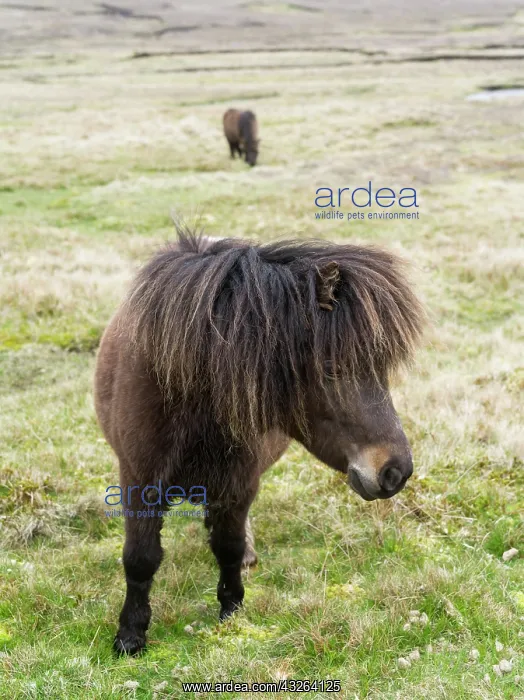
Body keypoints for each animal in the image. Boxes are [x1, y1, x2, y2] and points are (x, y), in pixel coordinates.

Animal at [94, 227, 424, 655]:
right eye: (332, 368)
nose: (396, 471)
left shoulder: (240, 482)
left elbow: (228, 547)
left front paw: (231, 609)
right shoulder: (138, 480)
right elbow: (140, 558)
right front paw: (130, 635)